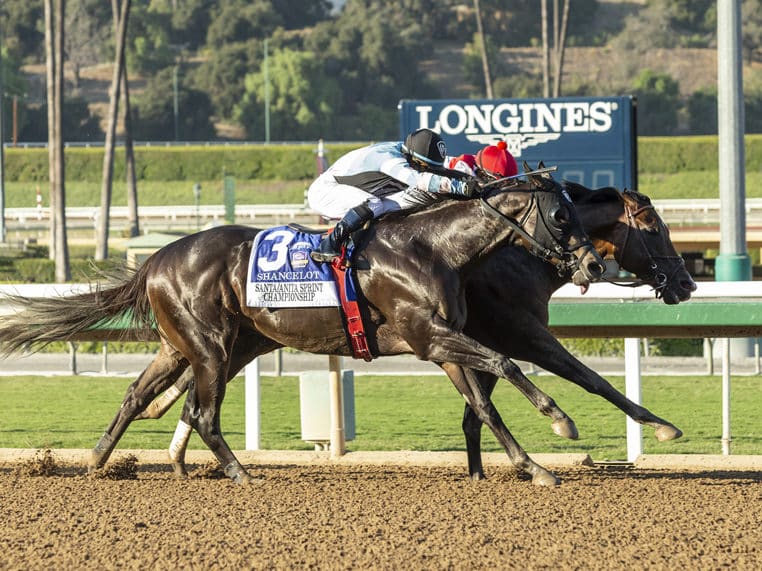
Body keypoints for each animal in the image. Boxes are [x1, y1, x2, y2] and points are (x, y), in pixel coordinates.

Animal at [0, 175, 604, 488]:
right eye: (560, 216)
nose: (594, 265)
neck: (430, 247)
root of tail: (155, 260)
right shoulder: (427, 335)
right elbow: (504, 362)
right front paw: (561, 420)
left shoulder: (442, 345)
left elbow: (484, 405)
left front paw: (533, 467)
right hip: (212, 347)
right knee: (202, 413)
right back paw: (240, 474)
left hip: (188, 347)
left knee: (137, 394)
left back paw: (98, 461)